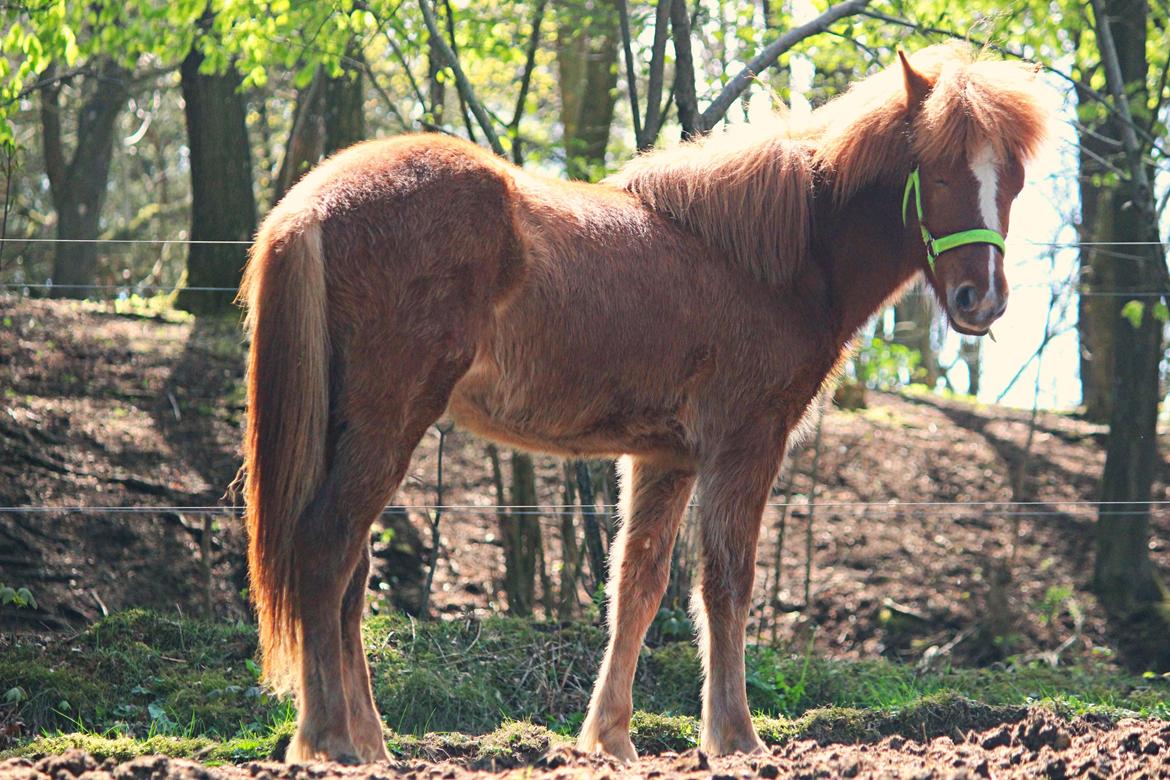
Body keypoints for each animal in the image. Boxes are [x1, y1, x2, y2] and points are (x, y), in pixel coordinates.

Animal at [242, 48, 1048, 767]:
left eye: (1012, 181)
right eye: (937, 170)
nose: (981, 300)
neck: (767, 260)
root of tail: (311, 205)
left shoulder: (665, 457)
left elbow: (637, 585)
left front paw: (610, 737)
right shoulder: (744, 444)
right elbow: (726, 582)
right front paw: (735, 737)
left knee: (351, 578)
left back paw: (372, 742)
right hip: (388, 420)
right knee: (326, 549)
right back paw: (329, 739)